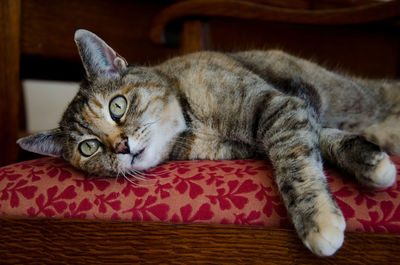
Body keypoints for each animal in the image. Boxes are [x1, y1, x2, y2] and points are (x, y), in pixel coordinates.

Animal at [17, 28, 398, 256]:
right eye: (89, 147)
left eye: (117, 106)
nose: (121, 146)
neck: (193, 124)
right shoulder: (272, 130)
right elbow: (318, 140)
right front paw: (369, 161)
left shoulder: (278, 106)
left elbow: (295, 165)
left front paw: (317, 220)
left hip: (357, 96)